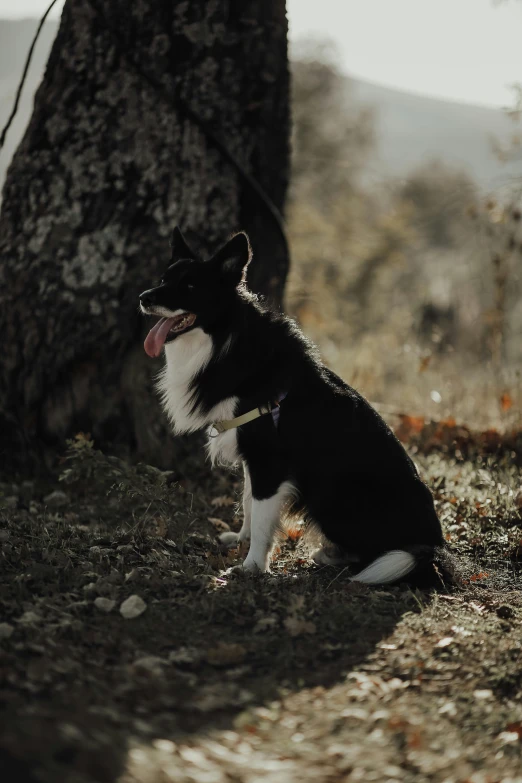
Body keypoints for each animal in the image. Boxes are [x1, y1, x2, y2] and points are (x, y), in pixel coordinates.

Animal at [140, 227, 444, 580]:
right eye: (164, 279)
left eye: (189, 286)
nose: (144, 298)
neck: (227, 340)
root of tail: (433, 545)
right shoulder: (253, 457)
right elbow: (248, 502)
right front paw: (241, 540)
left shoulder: (269, 461)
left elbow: (262, 518)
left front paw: (252, 566)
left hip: (336, 496)